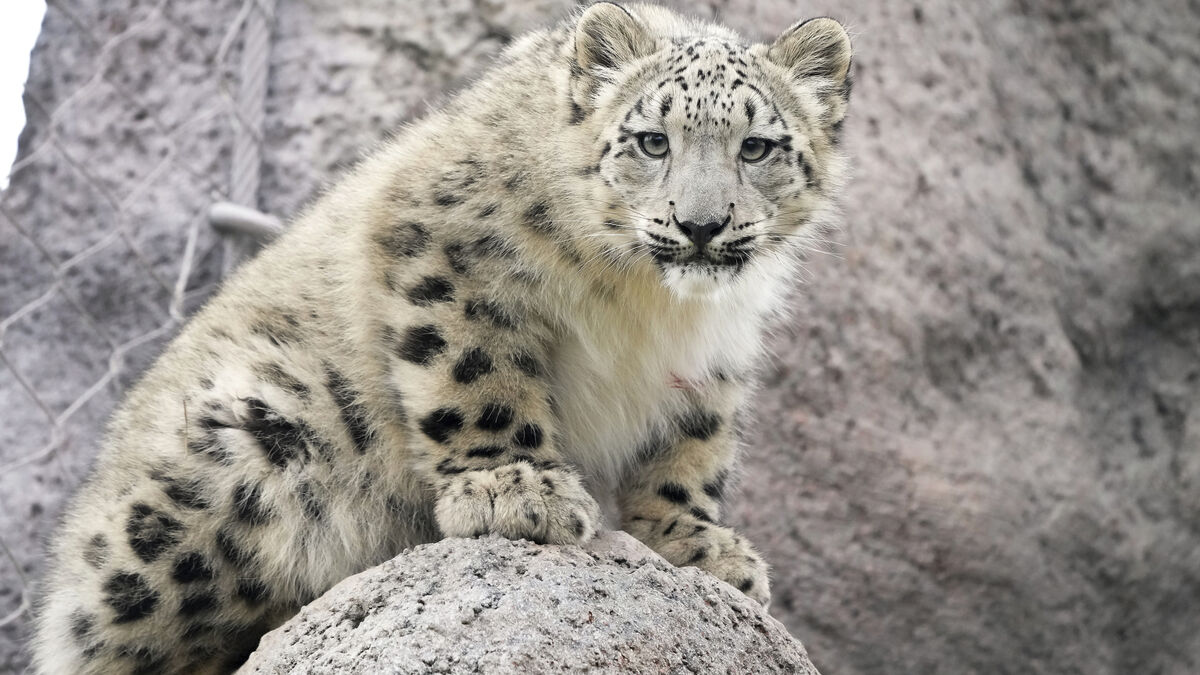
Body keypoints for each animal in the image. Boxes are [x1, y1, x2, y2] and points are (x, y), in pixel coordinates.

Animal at [31, 3, 852, 673]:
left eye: (757, 147)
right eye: (652, 141)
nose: (702, 225)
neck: (652, 303)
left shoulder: (716, 358)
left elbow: (693, 449)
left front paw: (697, 541)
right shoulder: (446, 254)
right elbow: (477, 375)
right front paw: (514, 489)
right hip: (243, 450)